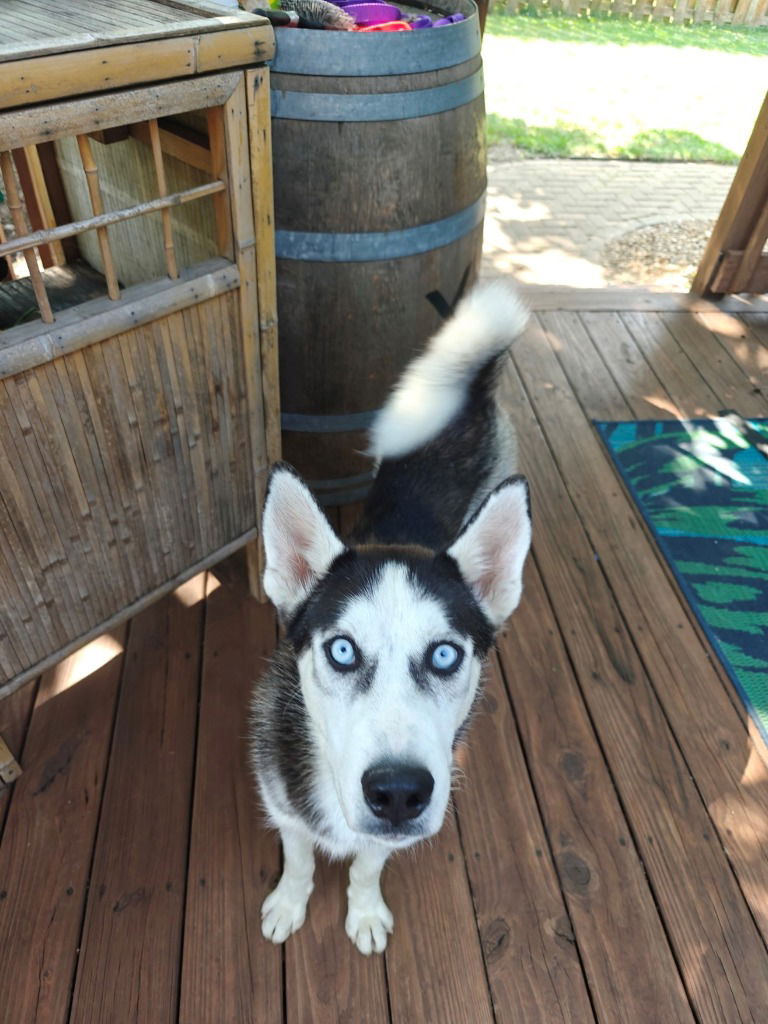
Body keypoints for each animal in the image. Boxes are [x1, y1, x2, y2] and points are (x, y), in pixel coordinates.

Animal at [249, 278, 532, 950]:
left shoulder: (389, 836)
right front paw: (290, 902)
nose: (398, 793)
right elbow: (298, 858)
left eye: (446, 654)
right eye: (342, 650)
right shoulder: (283, 806)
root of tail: (472, 390)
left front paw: (365, 911)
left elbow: (367, 865)